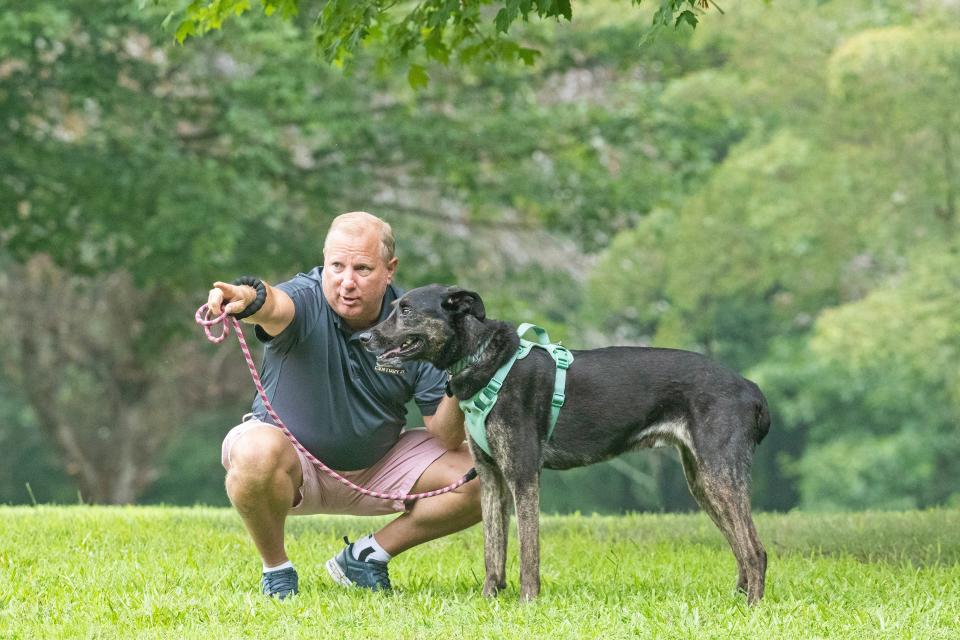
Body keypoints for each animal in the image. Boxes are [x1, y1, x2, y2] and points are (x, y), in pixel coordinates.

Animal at [362, 284, 772, 604]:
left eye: (406, 309)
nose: (363, 339)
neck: (485, 360)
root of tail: (749, 387)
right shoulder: (492, 479)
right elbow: (493, 552)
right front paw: (489, 600)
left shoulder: (523, 475)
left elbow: (528, 551)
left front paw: (528, 603)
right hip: (703, 481)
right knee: (741, 548)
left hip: (719, 477)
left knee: (755, 550)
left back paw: (751, 608)